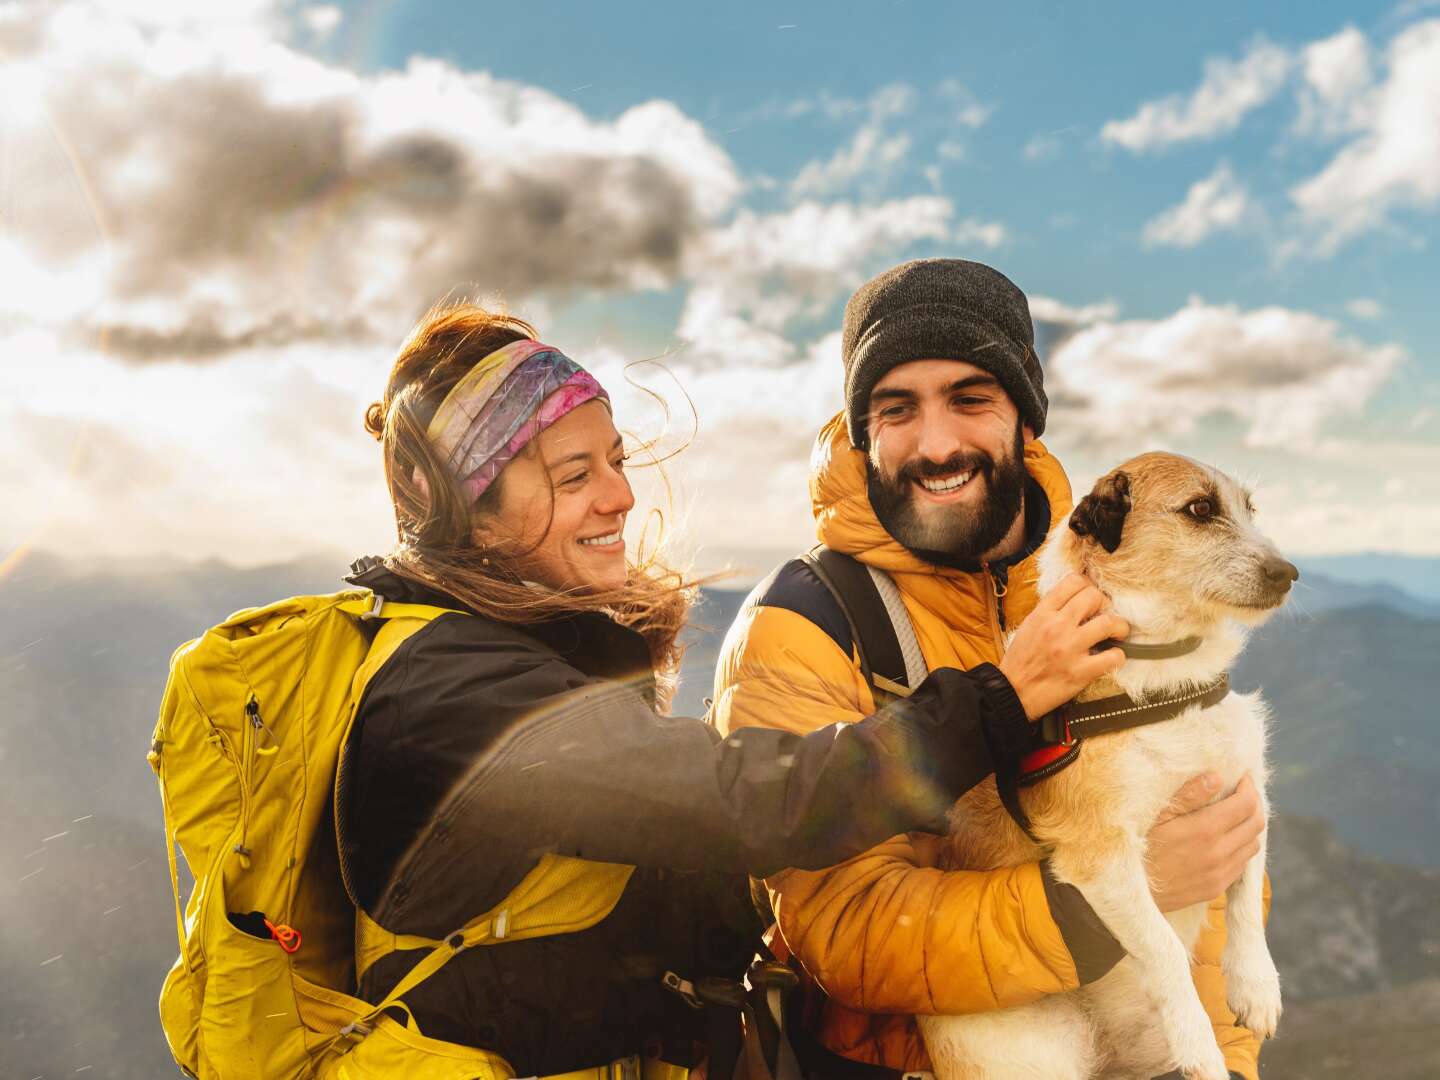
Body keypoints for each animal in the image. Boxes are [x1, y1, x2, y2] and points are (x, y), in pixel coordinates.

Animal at [921, 455, 1296, 1080]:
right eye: (1200, 508)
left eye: (1250, 508)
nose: (1289, 572)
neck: (1167, 677)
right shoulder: (1101, 859)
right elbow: (1163, 948)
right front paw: (1199, 1044)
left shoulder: (1247, 794)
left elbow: (1244, 899)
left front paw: (1256, 988)